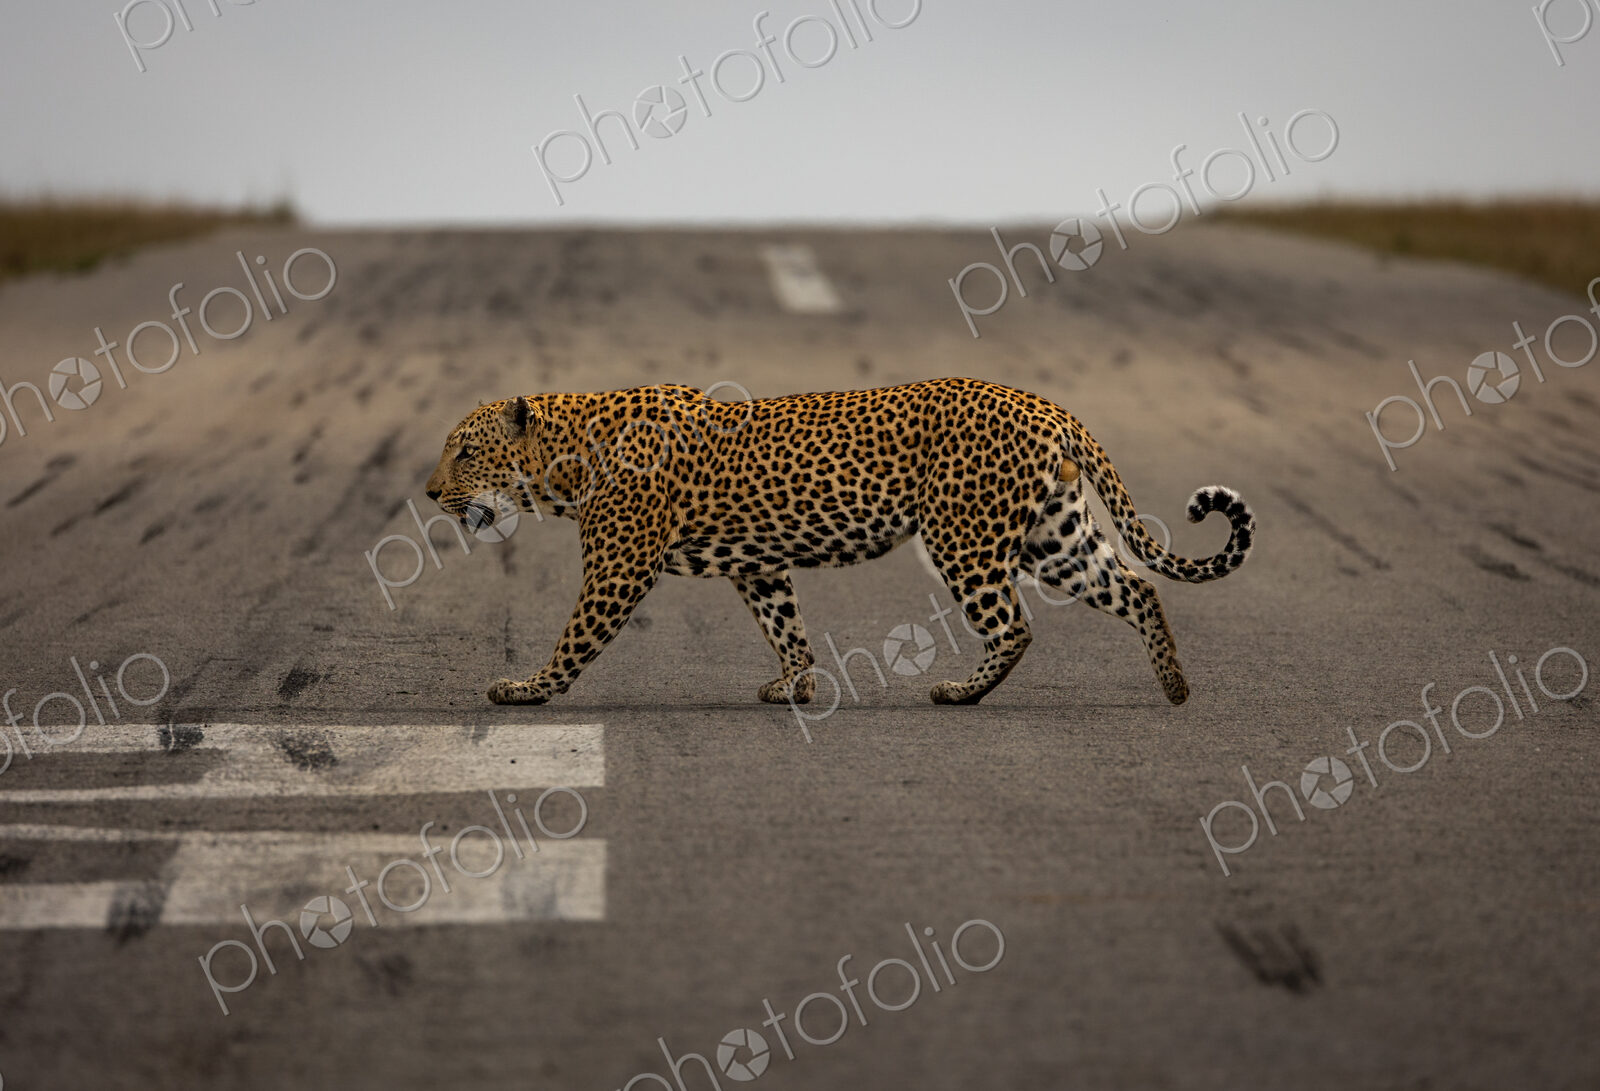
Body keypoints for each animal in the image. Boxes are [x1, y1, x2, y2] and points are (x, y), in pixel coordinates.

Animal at [424, 378, 1255, 709]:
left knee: (1014, 623)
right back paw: (1175, 686)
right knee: (1137, 585)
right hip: (1055, 533)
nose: (430, 493)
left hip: (965, 534)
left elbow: (573, 640)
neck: (564, 459)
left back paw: (960, 691)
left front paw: (526, 688)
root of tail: (1043, 402)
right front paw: (796, 684)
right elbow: (786, 627)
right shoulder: (758, 564)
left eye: (463, 451)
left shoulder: (619, 566)